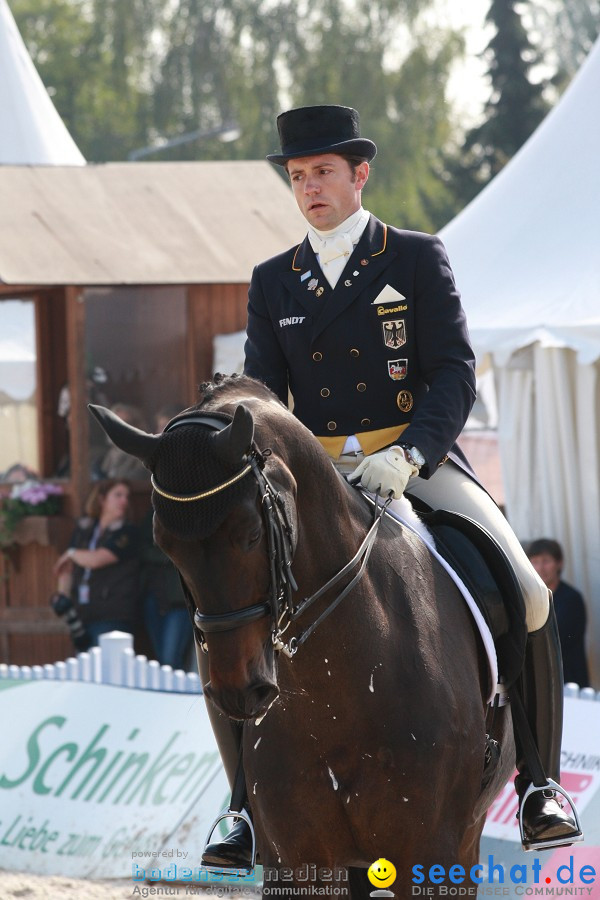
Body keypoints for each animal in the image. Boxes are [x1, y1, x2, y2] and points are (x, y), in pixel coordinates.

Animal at [91, 376, 512, 896]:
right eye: (165, 544)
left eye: (251, 533)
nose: (240, 689)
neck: (341, 686)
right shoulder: (297, 860)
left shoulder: (432, 854)